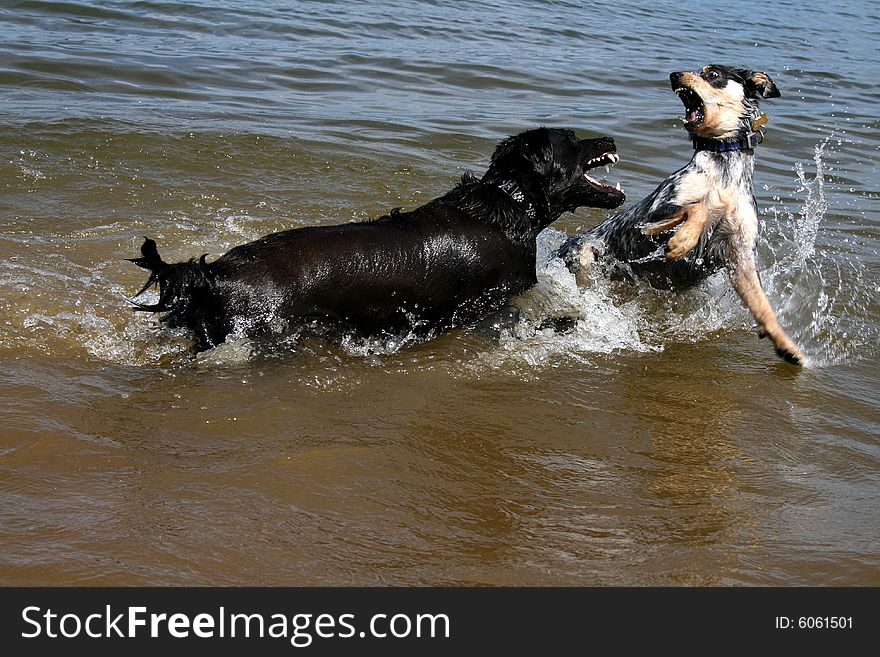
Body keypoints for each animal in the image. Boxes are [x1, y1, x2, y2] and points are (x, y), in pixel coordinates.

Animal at [560, 65, 808, 364]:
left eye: (713, 74)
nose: (674, 74)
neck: (723, 173)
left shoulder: (741, 256)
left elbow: (763, 306)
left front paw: (787, 346)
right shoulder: (654, 214)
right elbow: (697, 208)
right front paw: (682, 241)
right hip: (584, 255)